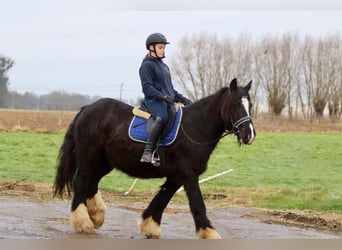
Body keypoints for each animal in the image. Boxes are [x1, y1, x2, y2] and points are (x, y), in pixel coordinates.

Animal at [53, 77, 255, 238]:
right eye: (235, 104)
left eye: (250, 105)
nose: (250, 135)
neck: (195, 128)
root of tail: (87, 109)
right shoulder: (188, 175)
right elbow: (197, 203)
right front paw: (209, 233)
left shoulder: (176, 176)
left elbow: (162, 198)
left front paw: (150, 226)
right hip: (89, 158)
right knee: (81, 182)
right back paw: (83, 222)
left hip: (105, 162)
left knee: (92, 182)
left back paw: (96, 215)